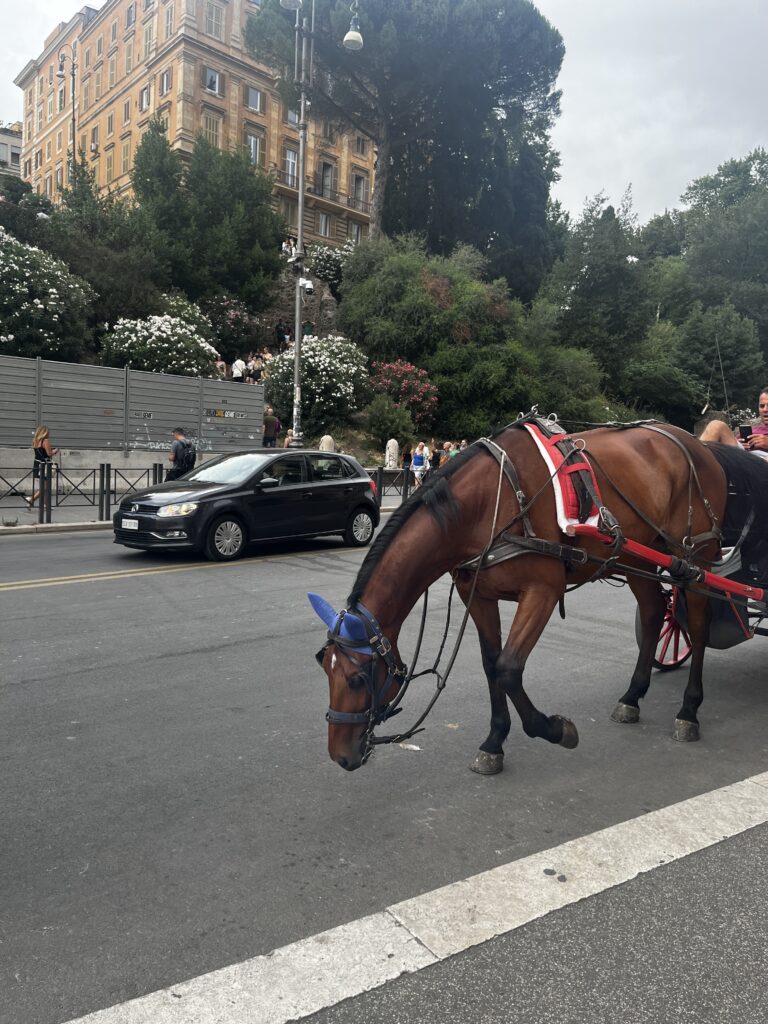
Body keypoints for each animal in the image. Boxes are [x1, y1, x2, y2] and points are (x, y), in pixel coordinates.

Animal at [309, 415, 729, 773]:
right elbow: (491, 665)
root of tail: (698, 445)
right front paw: (495, 741)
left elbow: (509, 670)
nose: (340, 756)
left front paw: (554, 729)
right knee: (655, 611)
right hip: (634, 555)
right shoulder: (478, 596)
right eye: (324, 666)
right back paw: (633, 696)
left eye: (357, 679)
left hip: (696, 559)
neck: (487, 505)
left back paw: (689, 710)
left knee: (698, 625)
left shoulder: (542, 591)